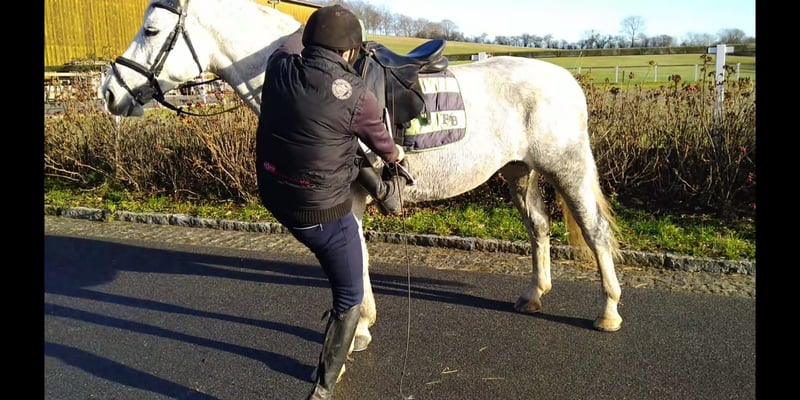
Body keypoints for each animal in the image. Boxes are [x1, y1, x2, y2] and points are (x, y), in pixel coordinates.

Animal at [99, 0, 624, 353]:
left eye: (151, 29)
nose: (108, 92)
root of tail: (566, 79)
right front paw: (363, 323)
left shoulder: (347, 199)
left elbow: (353, 258)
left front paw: (357, 330)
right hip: (519, 173)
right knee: (539, 228)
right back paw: (534, 295)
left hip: (567, 169)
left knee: (595, 232)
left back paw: (608, 312)